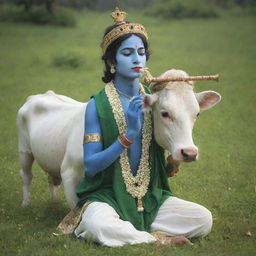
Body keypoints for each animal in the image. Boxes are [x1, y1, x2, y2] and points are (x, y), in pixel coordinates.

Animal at [17, 69, 220, 209]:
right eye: (165, 113)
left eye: (197, 114)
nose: (189, 152)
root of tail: (40, 95)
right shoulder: (69, 171)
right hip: (24, 151)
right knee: (26, 175)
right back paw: (25, 203)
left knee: (51, 179)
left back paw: (52, 202)